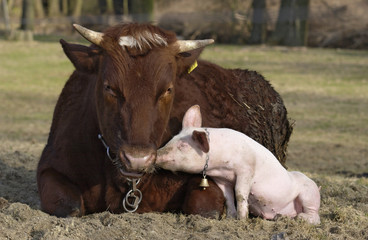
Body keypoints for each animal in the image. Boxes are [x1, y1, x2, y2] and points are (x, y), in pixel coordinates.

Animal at [36, 23, 292, 218]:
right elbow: (69, 208)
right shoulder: (50, 168)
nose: (137, 158)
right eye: (109, 87)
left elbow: (204, 209)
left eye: (168, 89)